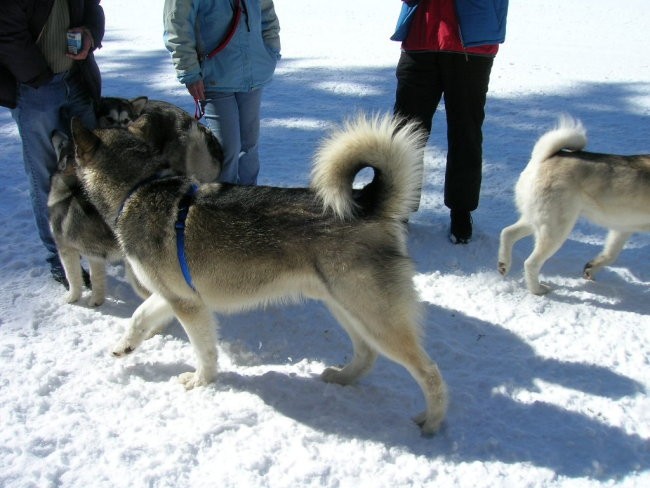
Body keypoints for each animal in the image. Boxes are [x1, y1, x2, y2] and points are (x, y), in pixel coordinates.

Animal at [69, 114, 446, 434]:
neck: (138, 188)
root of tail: (366, 203)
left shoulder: (187, 305)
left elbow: (204, 350)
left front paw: (201, 380)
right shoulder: (176, 294)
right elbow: (138, 316)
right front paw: (125, 346)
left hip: (373, 314)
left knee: (430, 373)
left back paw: (432, 423)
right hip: (345, 307)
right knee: (367, 354)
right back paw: (342, 378)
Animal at [498, 115, 644, 294]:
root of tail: (542, 158)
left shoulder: (623, 227)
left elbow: (610, 254)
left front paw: (591, 268)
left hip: (539, 221)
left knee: (507, 232)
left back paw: (503, 264)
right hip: (556, 230)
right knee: (530, 263)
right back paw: (538, 290)